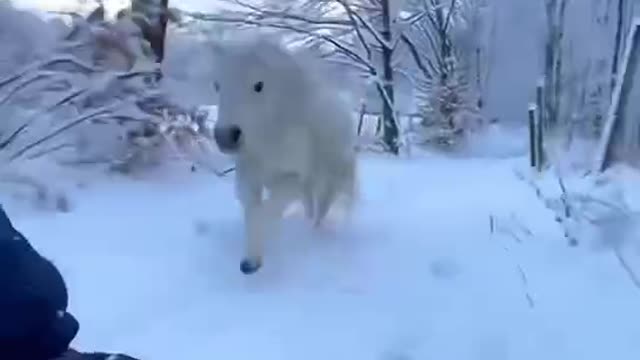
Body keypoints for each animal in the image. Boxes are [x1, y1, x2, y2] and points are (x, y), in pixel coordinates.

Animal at [212, 35, 358, 274]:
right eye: (217, 85)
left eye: (259, 85)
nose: (226, 136)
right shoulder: (248, 174)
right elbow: (253, 211)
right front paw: (251, 259)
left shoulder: (295, 178)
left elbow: (267, 210)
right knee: (310, 208)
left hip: (330, 179)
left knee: (321, 209)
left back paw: (315, 235)